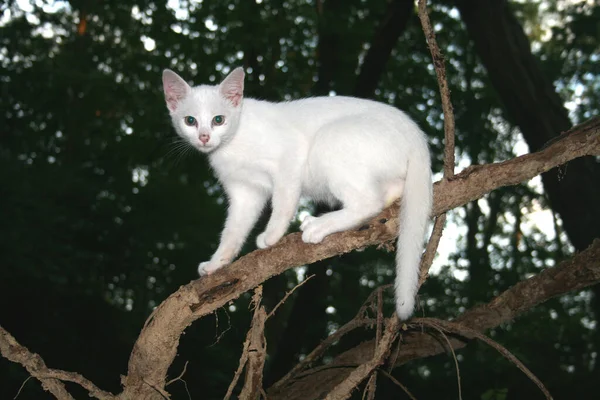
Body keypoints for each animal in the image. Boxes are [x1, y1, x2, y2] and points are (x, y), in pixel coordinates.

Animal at [162, 68, 432, 318]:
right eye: (190, 121)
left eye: (218, 119)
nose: (204, 137)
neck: (232, 143)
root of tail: (417, 136)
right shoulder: (244, 193)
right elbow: (233, 232)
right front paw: (217, 263)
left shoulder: (290, 155)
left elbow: (283, 202)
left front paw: (271, 236)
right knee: (389, 191)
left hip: (327, 140)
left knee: (369, 202)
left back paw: (318, 226)